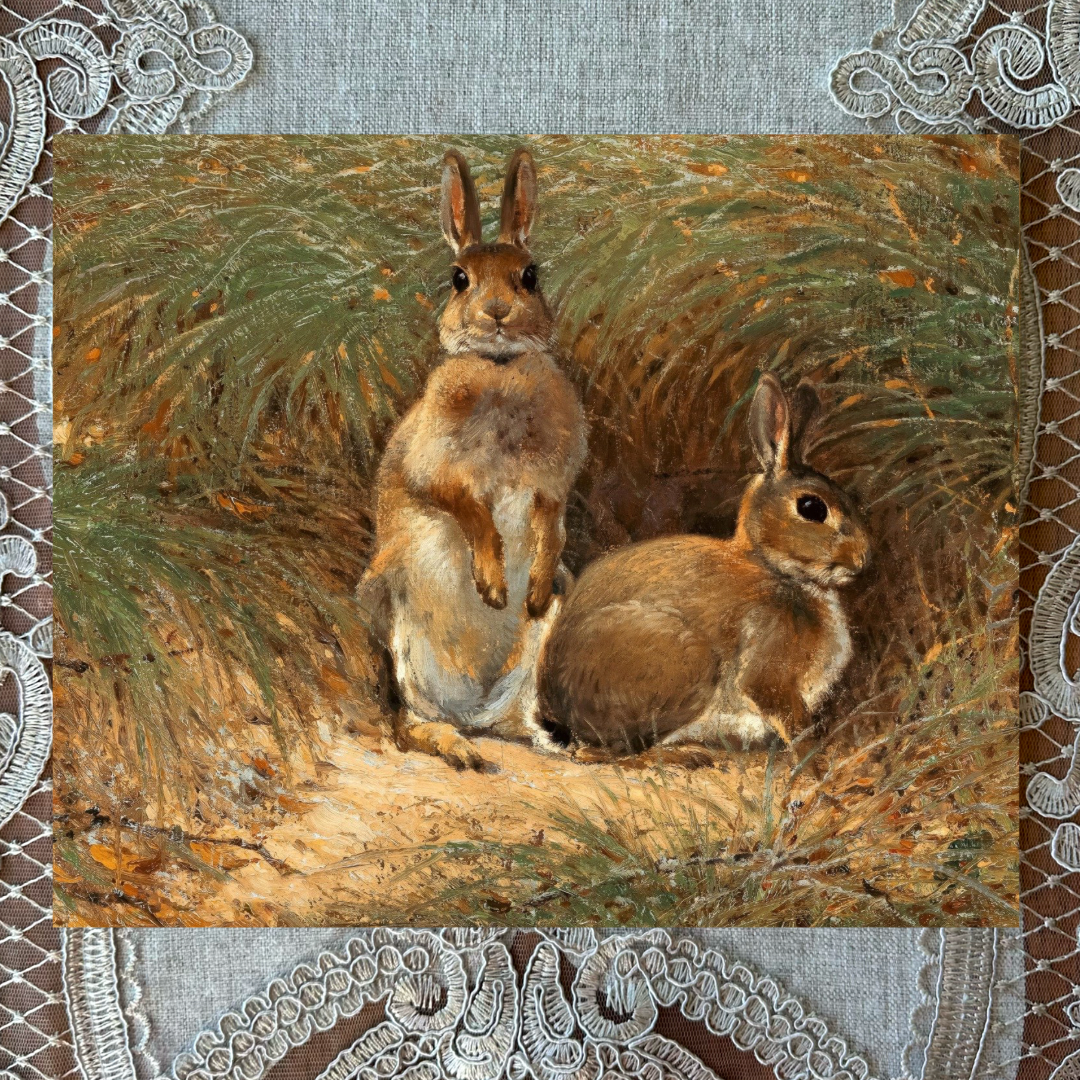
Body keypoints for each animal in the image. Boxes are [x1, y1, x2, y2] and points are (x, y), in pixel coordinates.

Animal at [358, 147, 587, 772]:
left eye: (531, 275)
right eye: (459, 279)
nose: (498, 312)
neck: (499, 369)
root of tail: (476, 708)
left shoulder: (553, 484)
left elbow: (551, 523)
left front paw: (527, 590)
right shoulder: (432, 468)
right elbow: (468, 507)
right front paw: (491, 585)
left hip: (536, 649)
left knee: (520, 718)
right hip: (401, 631)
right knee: (408, 721)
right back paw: (456, 747)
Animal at [535, 373, 869, 762]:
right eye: (812, 508)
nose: (863, 559)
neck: (774, 568)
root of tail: (556, 710)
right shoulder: (769, 672)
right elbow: (789, 718)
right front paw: (814, 753)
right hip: (688, 663)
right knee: (620, 750)